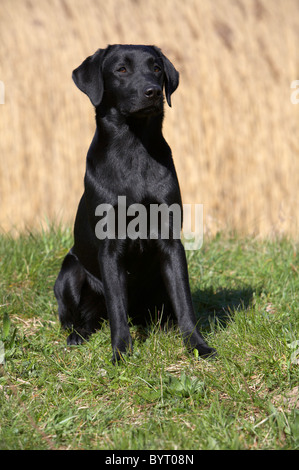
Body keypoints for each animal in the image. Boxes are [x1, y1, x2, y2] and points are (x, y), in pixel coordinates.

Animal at [54, 44, 216, 362]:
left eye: (156, 68)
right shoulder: (109, 248)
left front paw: (197, 345)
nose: (152, 91)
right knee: (84, 318)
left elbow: (185, 302)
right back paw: (77, 336)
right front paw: (121, 353)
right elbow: (117, 307)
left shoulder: (171, 243)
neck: (134, 148)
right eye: (121, 69)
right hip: (68, 272)